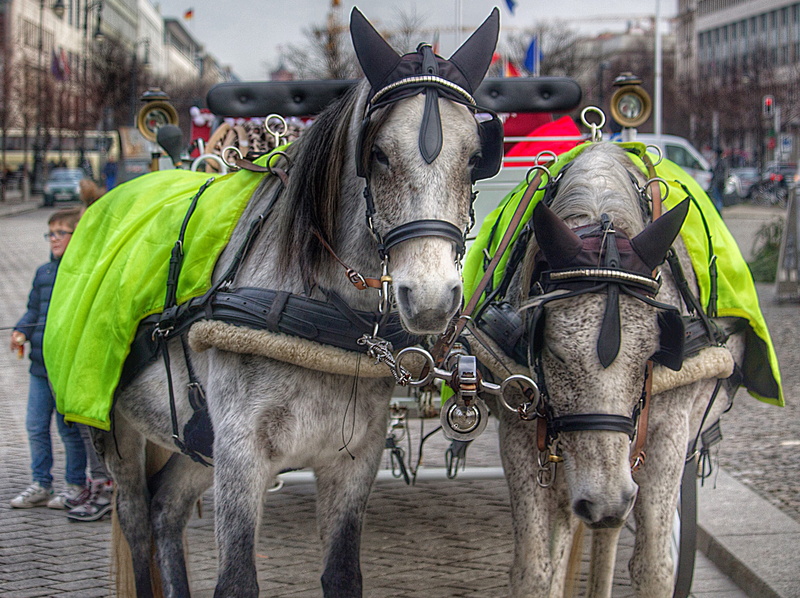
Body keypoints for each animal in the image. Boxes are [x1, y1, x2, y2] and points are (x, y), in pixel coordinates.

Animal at [89, 8, 502, 597]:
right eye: (377, 153)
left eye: (475, 158)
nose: (429, 299)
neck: (317, 318)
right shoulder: (241, 458)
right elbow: (237, 580)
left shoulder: (352, 460)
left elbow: (342, 571)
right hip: (117, 431)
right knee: (137, 519)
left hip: (195, 445)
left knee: (166, 510)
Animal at [468, 142, 754, 597]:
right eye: (553, 350)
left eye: (652, 353)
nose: (605, 501)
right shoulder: (520, 432)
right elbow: (535, 568)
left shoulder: (667, 433)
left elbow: (654, 567)